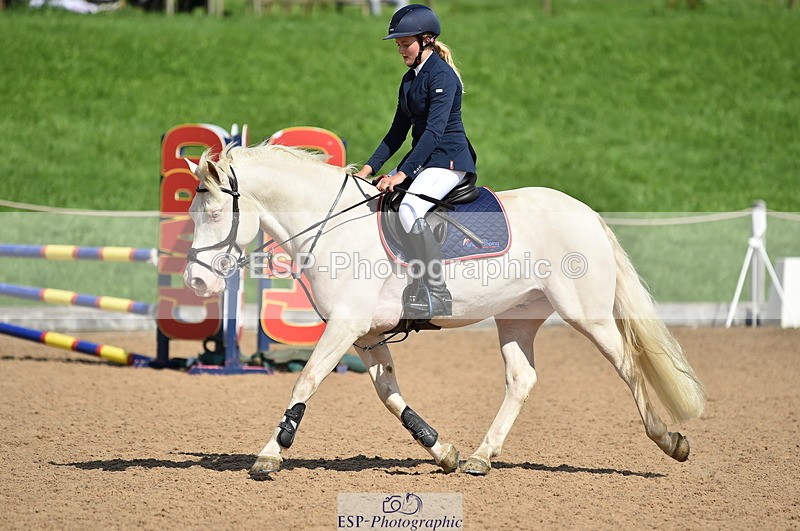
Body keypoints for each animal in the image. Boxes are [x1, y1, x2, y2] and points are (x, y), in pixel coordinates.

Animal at [183, 142, 706, 480]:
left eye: (215, 214)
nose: (197, 282)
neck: (333, 226)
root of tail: (587, 212)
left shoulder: (345, 326)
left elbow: (305, 380)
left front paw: (270, 454)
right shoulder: (365, 334)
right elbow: (389, 395)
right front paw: (442, 451)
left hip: (587, 315)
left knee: (628, 365)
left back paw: (669, 440)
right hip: (517, 317)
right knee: (522, 379)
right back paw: (480, 457)